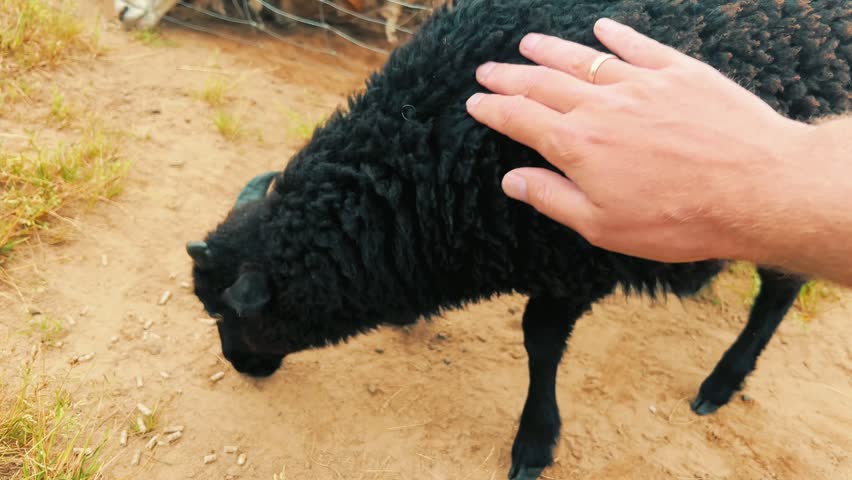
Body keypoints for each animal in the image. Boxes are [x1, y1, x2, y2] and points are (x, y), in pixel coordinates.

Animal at [185, 1, 851, 478]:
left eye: (227, 315)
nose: (239, 366)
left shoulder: (573, 254)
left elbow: (540, 341)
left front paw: (534, 442)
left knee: (779, 290)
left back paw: (723, 382)